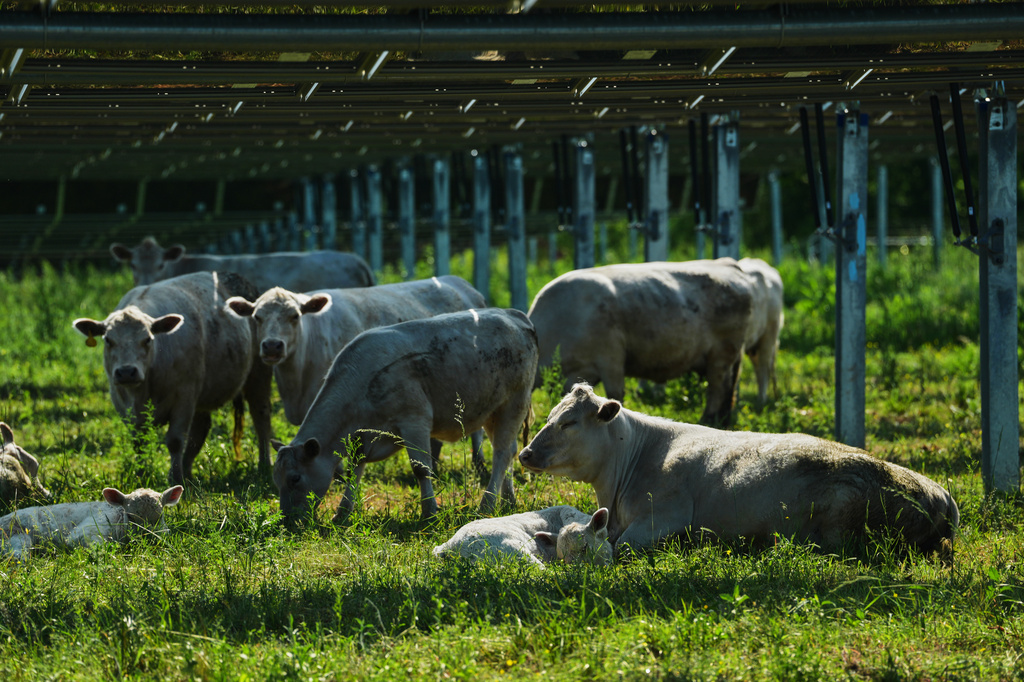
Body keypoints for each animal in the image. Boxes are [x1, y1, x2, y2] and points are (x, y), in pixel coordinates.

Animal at [73, 272, 274, 485]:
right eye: (108, 340)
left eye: (147, 339)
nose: (127, 372)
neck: (143, 391)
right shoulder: (121, 401)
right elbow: (139, 443)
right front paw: (141, 475)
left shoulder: (184, 396)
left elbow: (175, 441)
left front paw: (175, 478)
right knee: (200, 429)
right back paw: (187, 471)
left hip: (259, 373)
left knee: (261, 417)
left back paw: (264, 465)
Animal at [272, 307, 538, 527]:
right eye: (277, 478)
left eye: (295, 478)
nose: (287, 520)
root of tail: (513, 315)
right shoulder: (362, 437)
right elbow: (355, 470)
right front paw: (342, 512)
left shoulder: (415, 420)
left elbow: (421, 468)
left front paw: (429, 512)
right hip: (493, 412)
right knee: (508, 451)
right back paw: (508, 500)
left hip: (514, 403)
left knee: (501, 454)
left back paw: (487, 504)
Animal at [518, 384, 959, 563]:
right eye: (550, 415)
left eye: (569, 422)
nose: (525, 453)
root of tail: (938, 493)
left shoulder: (663, 515)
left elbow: (624, 546)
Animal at [527, 259, 757, 426]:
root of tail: (727, 263)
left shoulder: (611, 360)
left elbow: (615, 395)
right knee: (727, 391)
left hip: (721, 356)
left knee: (717, 389)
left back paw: (707, 419)